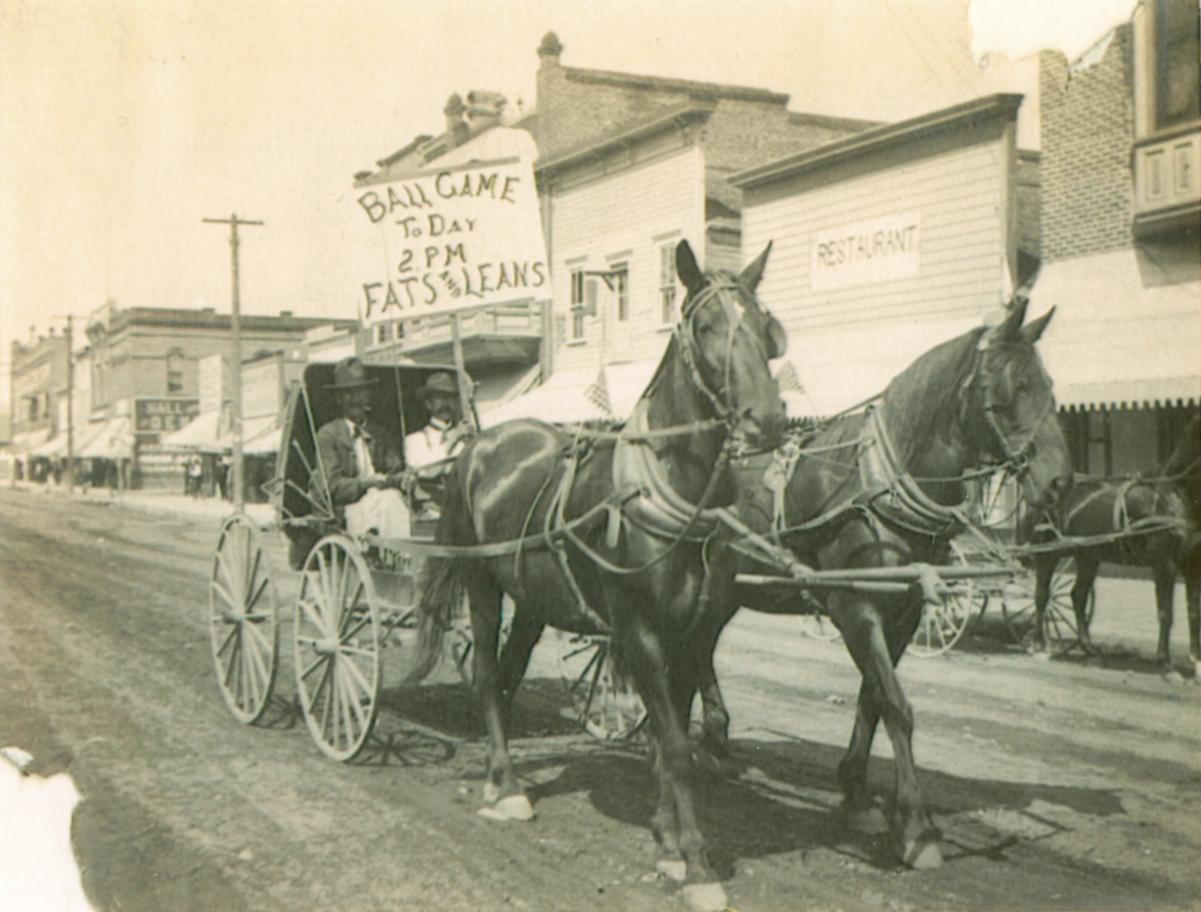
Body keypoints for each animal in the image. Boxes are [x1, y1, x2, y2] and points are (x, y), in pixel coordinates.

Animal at [408, 239, 792, 908]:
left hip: (533, 599)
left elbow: (670, 741)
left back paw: (499, 778)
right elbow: (675, 747)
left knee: (507, 676)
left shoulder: (691, 636)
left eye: (765, 327)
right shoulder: (639, 631)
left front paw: (667, 842)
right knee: (485, 675)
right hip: (484, 584)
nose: (765, 418)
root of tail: (480, 445)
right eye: (706, 326)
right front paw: (697, 864)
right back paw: (507, 784)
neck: (670, 489)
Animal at [691, 299, 1076, 869]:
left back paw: (714, 740)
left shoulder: (905, 612)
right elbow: (896, 705)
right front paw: (916, 826)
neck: (878, 485)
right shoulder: (855, 608)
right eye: (1012, 389)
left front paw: (856, 795)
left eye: (1049, 384)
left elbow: (872, 698)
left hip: (725, 589)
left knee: (698, 647)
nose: (1060, 481)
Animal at [1023, 413, 1201, 677]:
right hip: (1048, 555)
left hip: (1088, 557)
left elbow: (1193, 611)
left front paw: (1195, 662)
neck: (1173, 496)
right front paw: (1166, 664)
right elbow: (1166, 613)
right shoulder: (1164, 565)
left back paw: (1090, 650)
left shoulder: (1193, 567)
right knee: (1042, 595)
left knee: (1077, 596)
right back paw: (1039, 647)